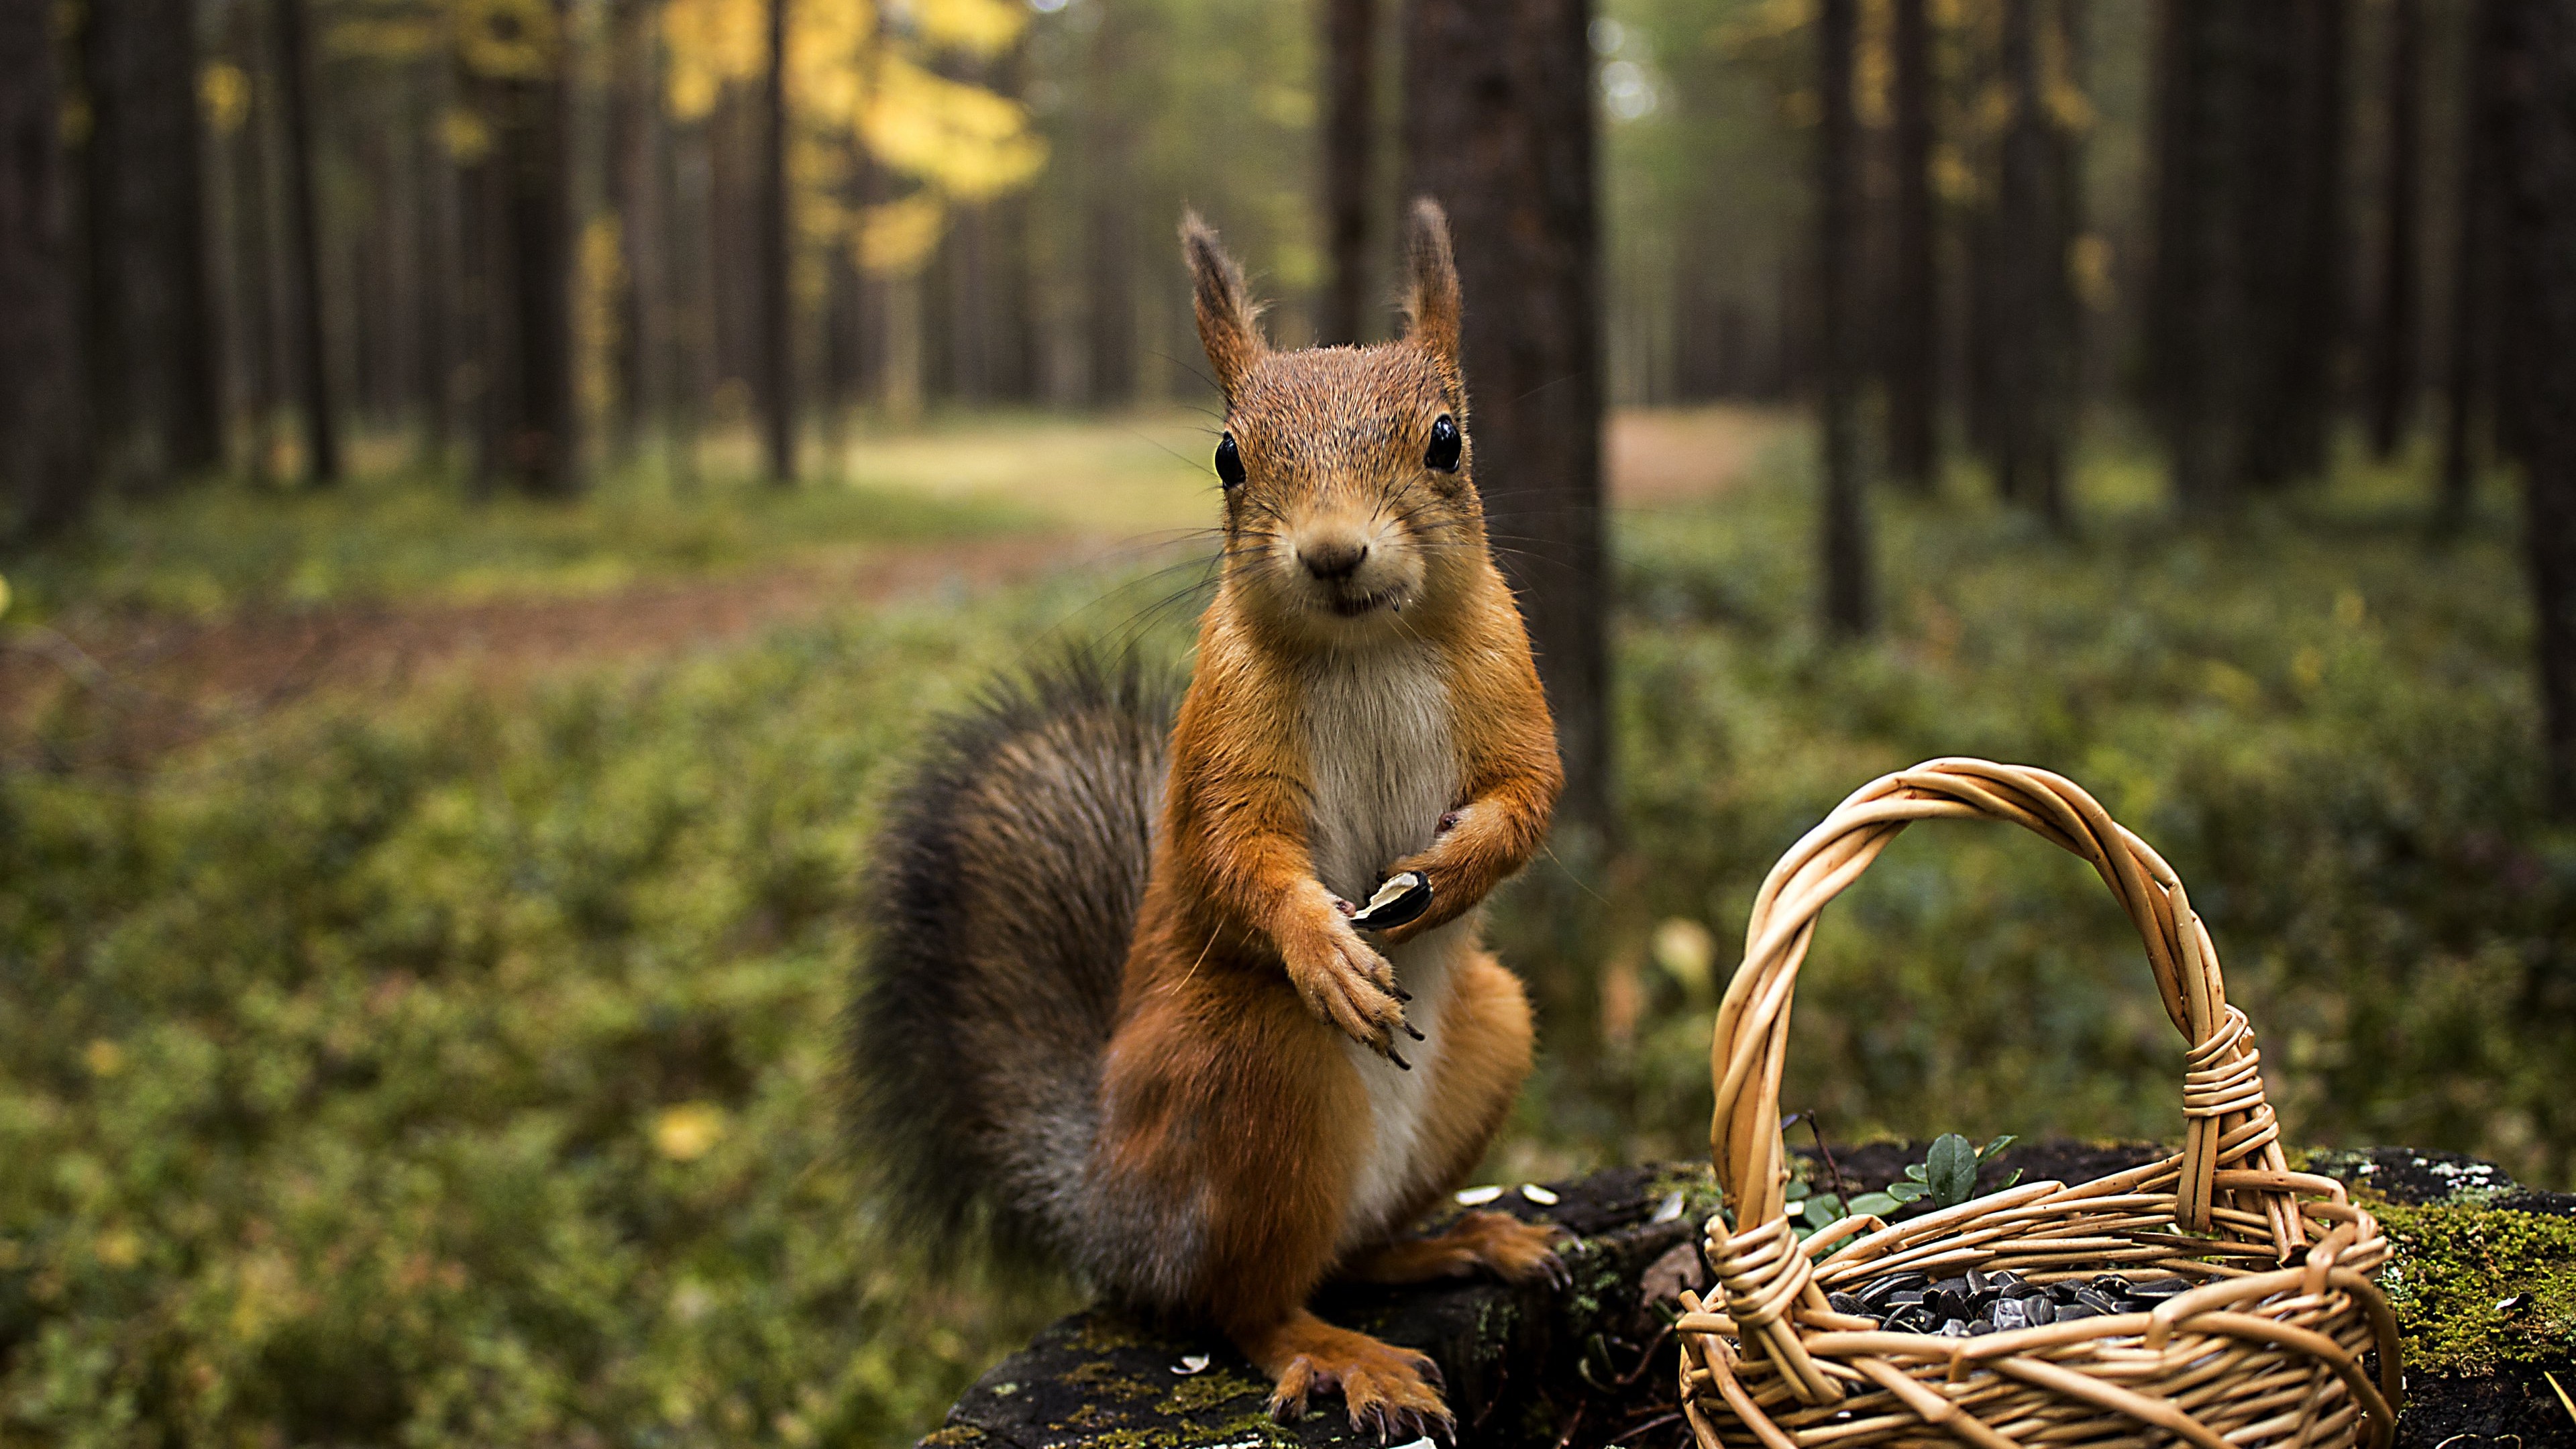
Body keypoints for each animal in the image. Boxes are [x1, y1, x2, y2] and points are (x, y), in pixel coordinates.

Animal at [848, 199, 1565, 1444]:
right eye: (1230, 457)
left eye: (1447, 440)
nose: (1333, 552)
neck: (1369, 646)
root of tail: (1111, 1211)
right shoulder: (1224, 736)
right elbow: (1238, 854)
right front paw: (1326, 948)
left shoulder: (1509, 683)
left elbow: (1529, 797)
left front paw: (1452, 872)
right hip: (1251, 1072)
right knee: (1245, 1302)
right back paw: (1341, 1353)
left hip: (1492, 1034)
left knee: (1349, 1253)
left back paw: (1460, 1242)